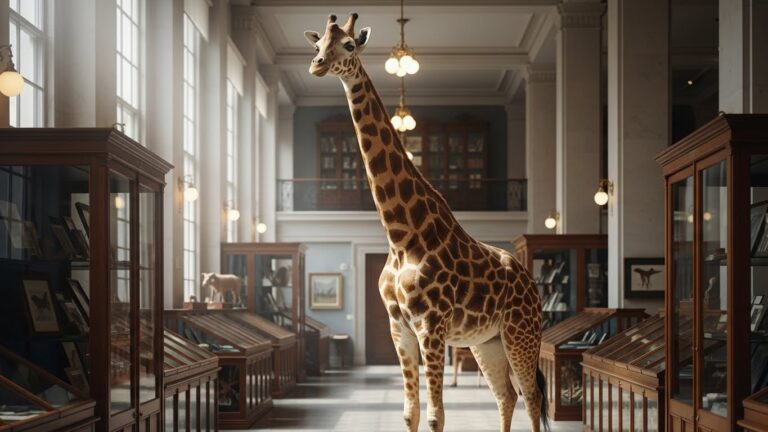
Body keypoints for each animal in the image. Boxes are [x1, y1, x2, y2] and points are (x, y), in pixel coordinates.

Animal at [305, 13, 550, 432]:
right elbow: (410, 411)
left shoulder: (431, 326)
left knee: (531, 398)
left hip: (521, 332)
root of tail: (530, 282)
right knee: (506, 395)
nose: (317, 65)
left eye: (349, 45)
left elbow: (436, 416)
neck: (401, 235)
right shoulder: (399, 327)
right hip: (486, 341)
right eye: (318, 43)